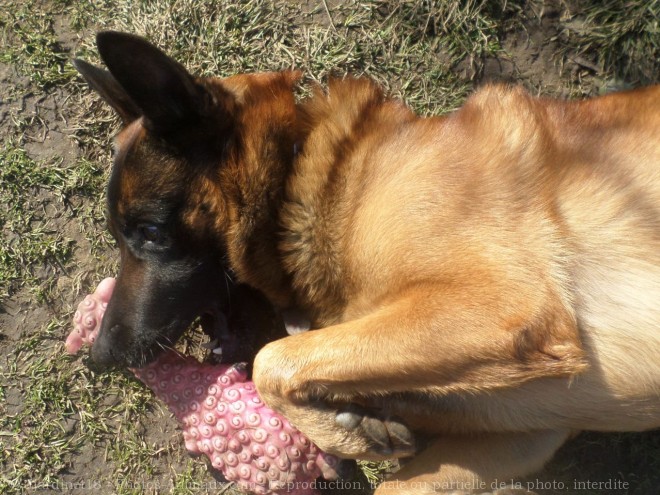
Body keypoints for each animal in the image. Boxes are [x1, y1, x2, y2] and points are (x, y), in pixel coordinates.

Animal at [75, 33, 656, 494]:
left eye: (150, 233)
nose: (99, 356)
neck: (303, 173)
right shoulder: (529, 434)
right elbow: (392, 483)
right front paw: (354, 423)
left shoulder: (500, 307)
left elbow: (273, 361)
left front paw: (347, 431)